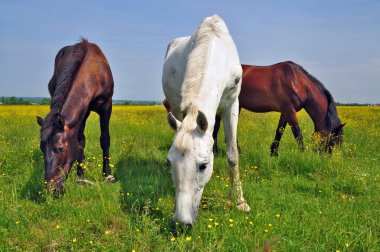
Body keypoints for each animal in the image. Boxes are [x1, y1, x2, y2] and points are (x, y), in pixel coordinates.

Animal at [36, 39, 115, 193]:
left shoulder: (106, 107)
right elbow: (79, 142)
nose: (52, 189)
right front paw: (81, 176)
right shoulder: (82, 112)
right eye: (42, 148)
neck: (94, 72)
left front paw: (108, 175)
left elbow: (105, 139)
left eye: (60, 148)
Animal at [162, 15, 251, 228]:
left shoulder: (232, 105)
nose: (181, 222)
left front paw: (239, 201)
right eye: (169, 162)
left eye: (203, 165)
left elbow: (233, 155)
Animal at [212, 61, 346, 156]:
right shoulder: (289, 110)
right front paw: (302, 154)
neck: (297, 82)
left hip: (237, 106)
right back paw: (216, 152)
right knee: (216, 126)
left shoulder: (286, 111)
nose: (325, 157)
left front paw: (274, 153)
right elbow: (297, 133)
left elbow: (280, 130)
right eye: (333, 140)